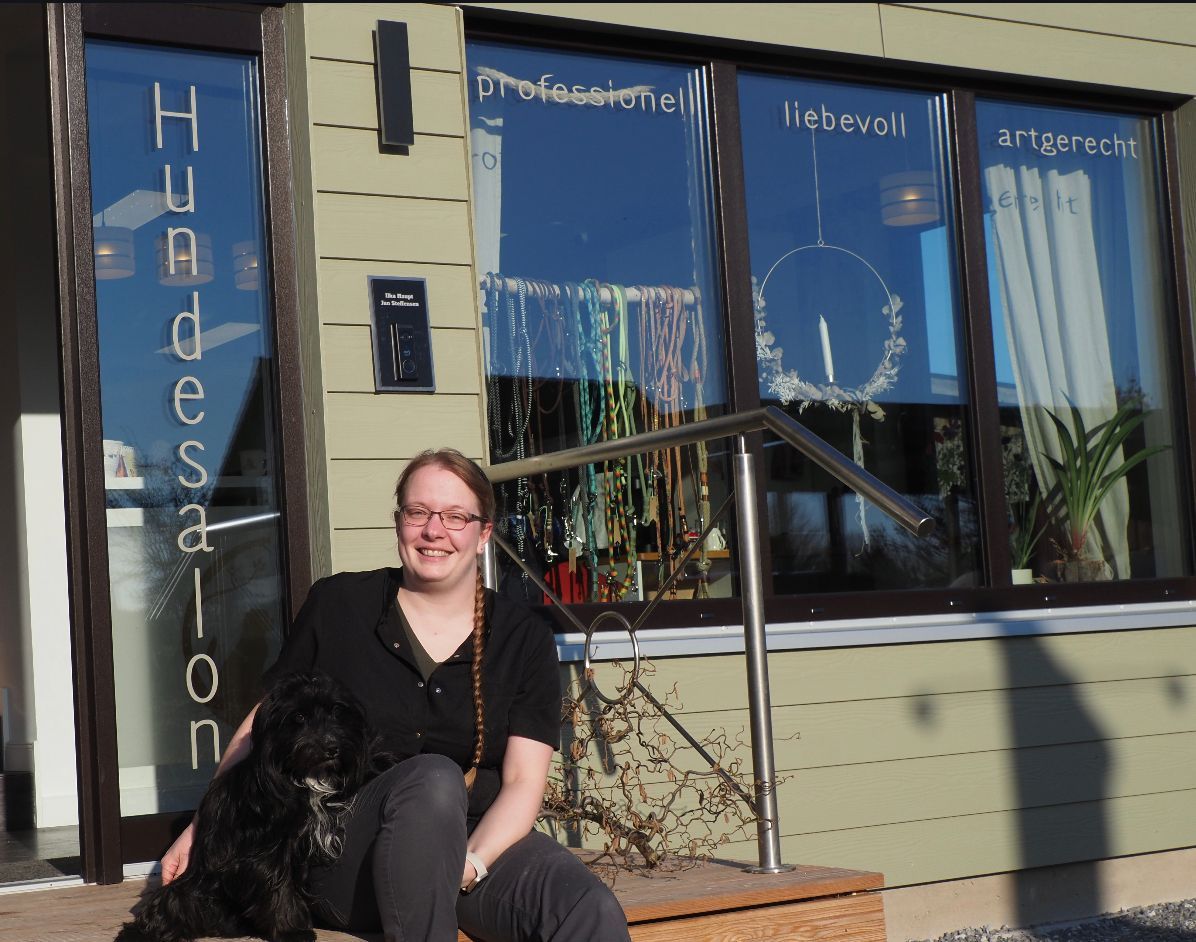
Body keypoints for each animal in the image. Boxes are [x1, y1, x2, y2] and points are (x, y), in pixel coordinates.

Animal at [117, 671, 378, 942]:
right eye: (298, 717)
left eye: (337, 711)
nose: (331, 747)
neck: (302, 775)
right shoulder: (266, 850)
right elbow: (279, 886)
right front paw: (292, 930)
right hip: (194, 888)